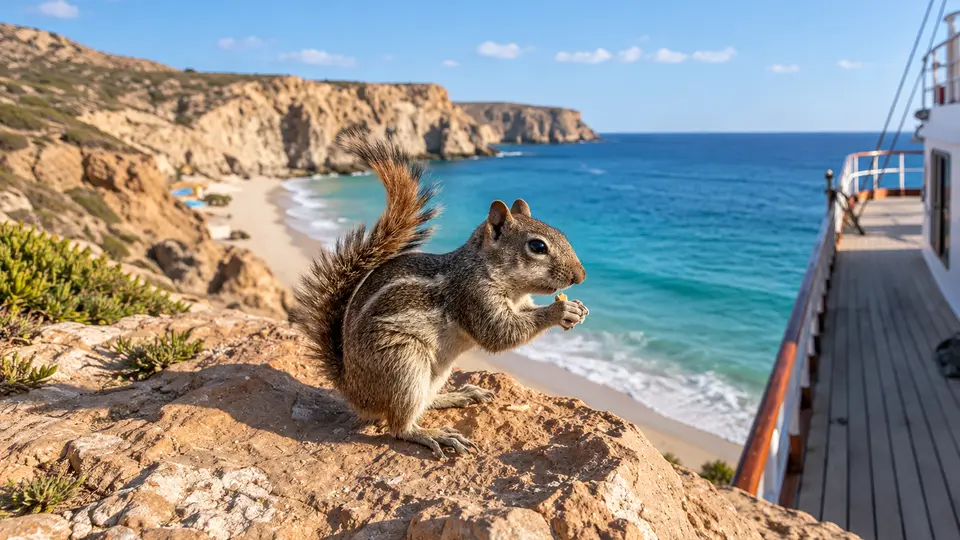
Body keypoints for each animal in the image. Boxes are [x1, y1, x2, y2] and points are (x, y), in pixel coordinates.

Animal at [292, 127, 589, 459]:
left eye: (561, 234)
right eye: (538, 246)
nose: (581, 276)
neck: (491, 272)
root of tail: (352, 390)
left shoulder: (518, 302)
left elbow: (521, 318)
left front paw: (576, 309)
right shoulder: (473, 296)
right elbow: (500, 334)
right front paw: (560, 311)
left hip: (436, 371)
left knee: (423, 402)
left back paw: (458, 395)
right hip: (403, 362)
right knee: (399, 425)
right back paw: (434, 434)